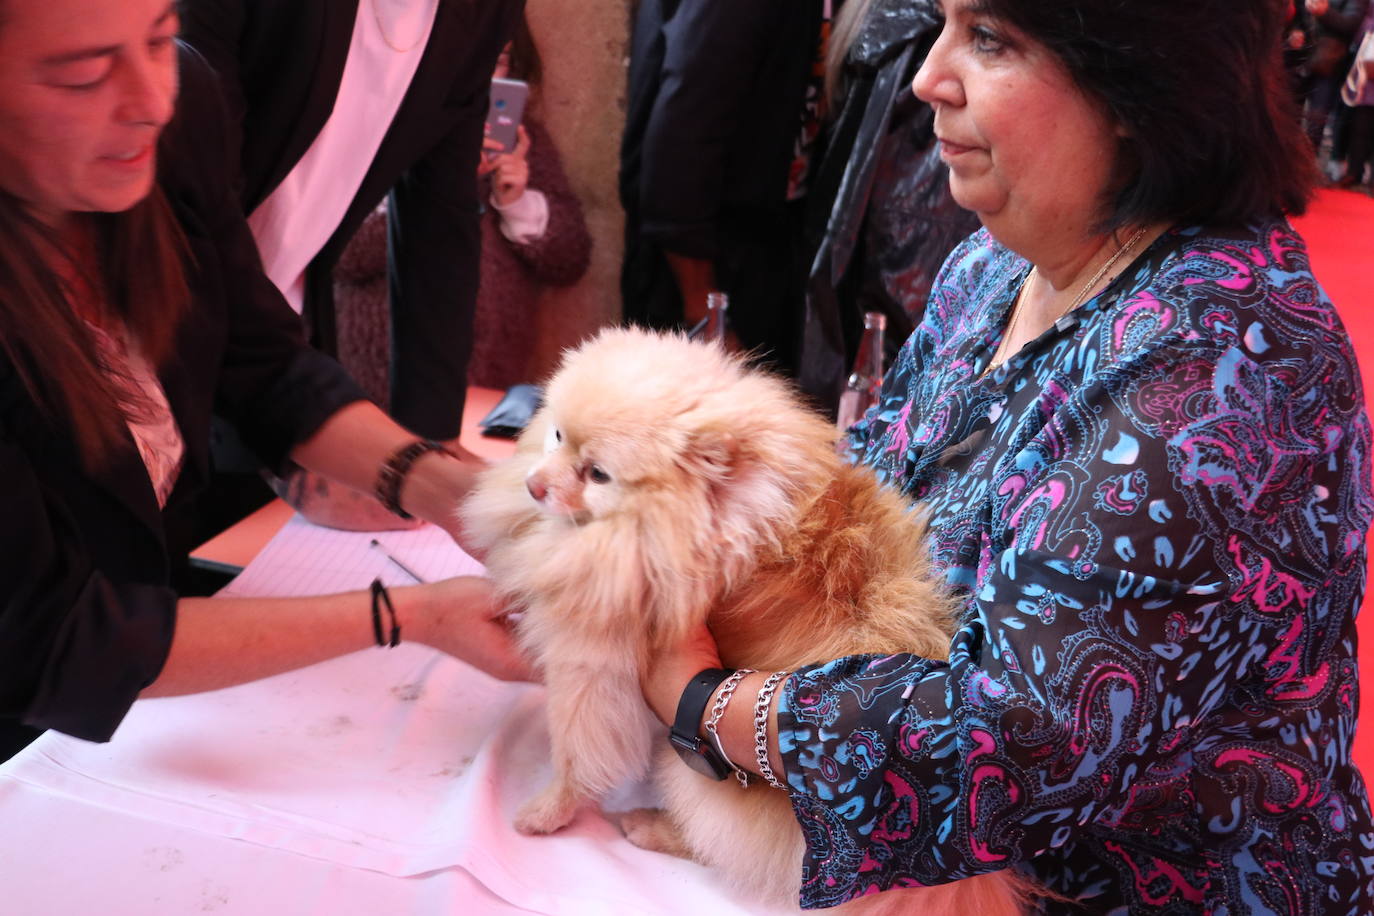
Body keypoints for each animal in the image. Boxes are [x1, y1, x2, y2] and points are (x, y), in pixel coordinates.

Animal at [461, 329, 1033, 916]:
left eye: (598, 474)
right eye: (556, 436)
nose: (534, 486)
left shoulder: (593, 667)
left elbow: (577, 752)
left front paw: (548, 810)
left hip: (694, 774)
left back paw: (651, 828)